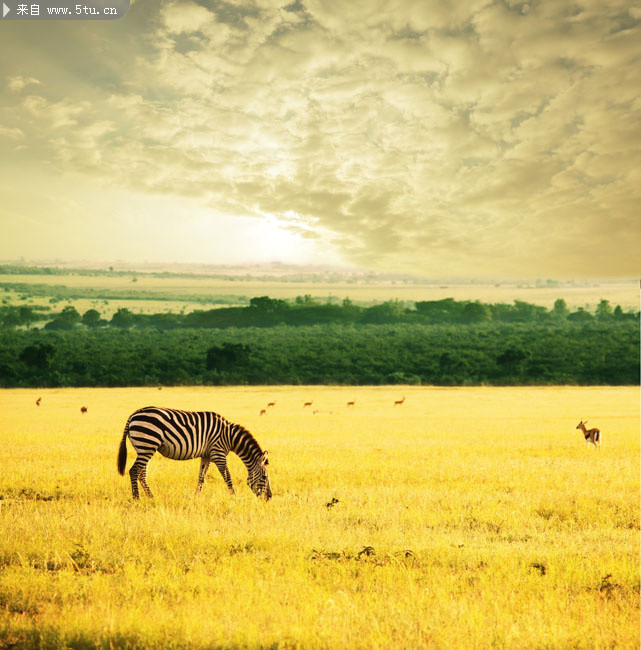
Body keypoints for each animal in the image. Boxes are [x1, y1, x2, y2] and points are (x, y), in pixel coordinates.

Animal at [116, 404, 272, 502]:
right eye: (264, 476)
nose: (269, 497)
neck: (230, 437)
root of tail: (133, 415)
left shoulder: (206, 455)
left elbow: (201, 477)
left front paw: (196, 497)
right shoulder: (218, 453)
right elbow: (227, 476)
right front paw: (234, 497)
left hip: (144, 448)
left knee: (142, 474)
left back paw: (151, 497)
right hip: (147, 444)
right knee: (134, 471)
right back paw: (137, 499)